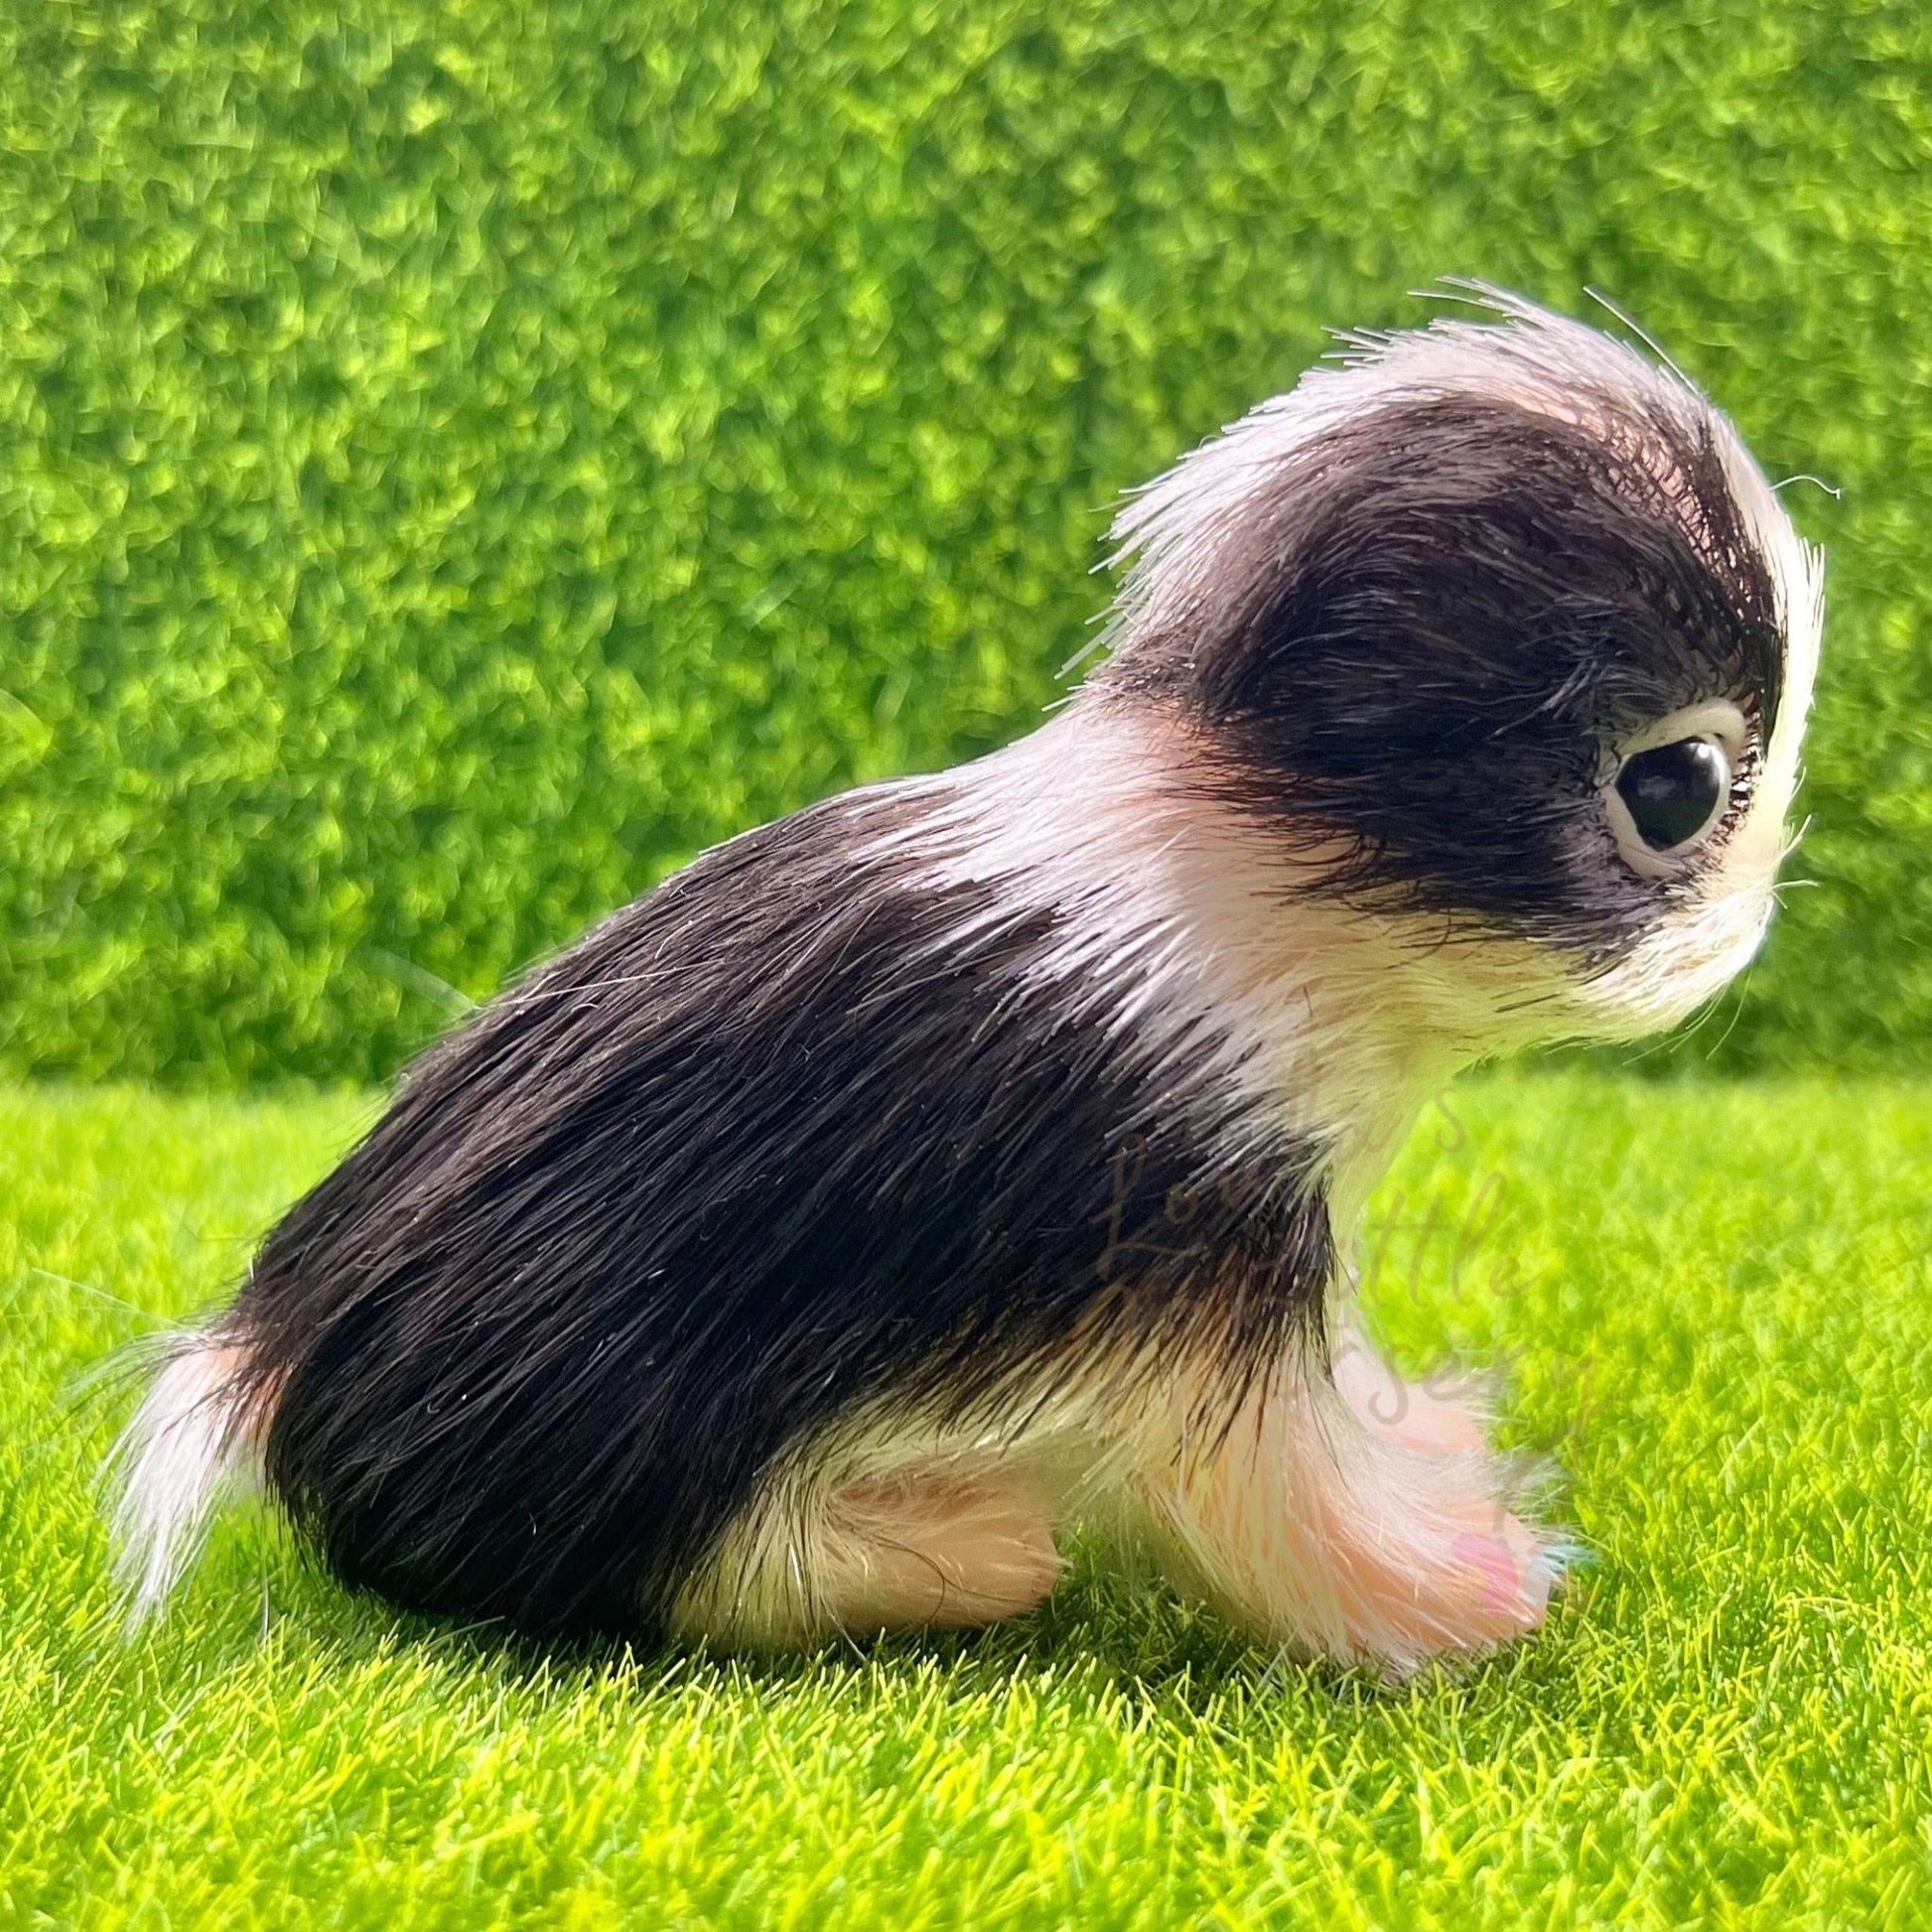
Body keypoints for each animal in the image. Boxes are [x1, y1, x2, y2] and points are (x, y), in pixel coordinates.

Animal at [112, 293, 1816, 1669]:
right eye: (1674, 790)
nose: (1751, 921)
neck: (1247, 878)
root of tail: (265, 1363)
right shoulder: (1203, 1237)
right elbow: (1276, 1490)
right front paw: (1477, 1590)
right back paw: (966, 1547)